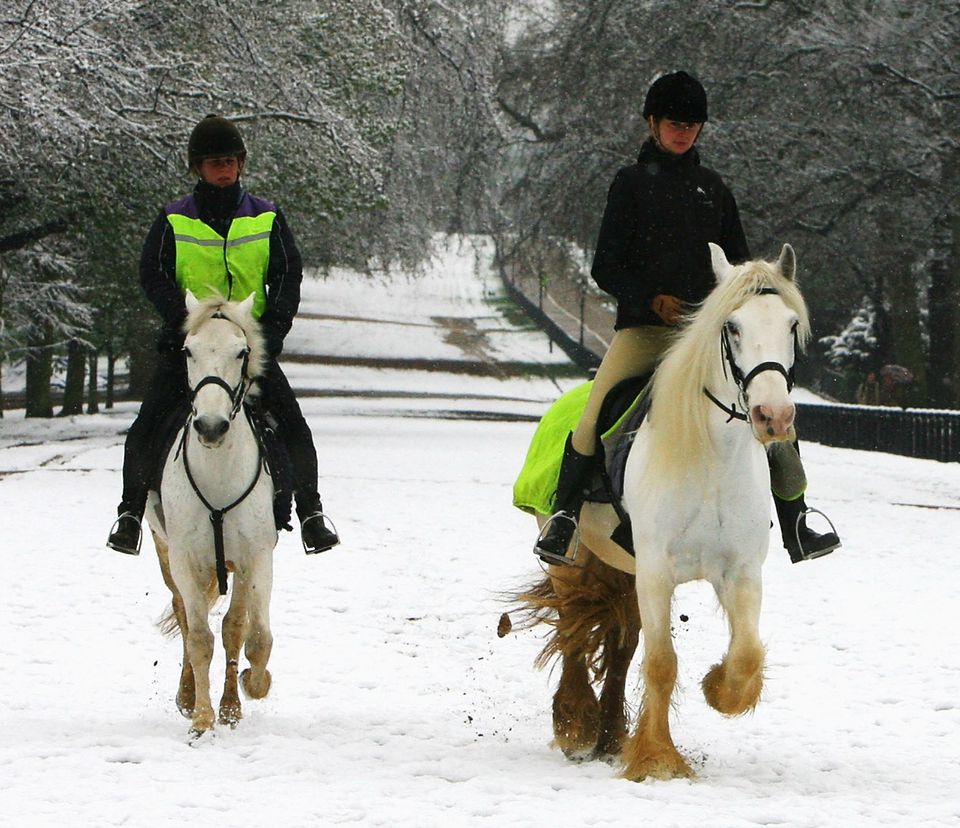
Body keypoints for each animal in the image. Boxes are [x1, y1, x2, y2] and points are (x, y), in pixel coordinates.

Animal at [144, 292, 278, 736]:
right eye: (188, 350)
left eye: (242, 352)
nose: (211, 427)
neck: (219, 473)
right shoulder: (185, 560)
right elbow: (199, 638)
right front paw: (201, 719)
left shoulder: (256, 558)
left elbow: (252, 636)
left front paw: (247, 692)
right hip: (165, 552)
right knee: (186, 617)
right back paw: (187, 697)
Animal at [512, 243, 808, 780]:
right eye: (732, 327)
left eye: (791, 325)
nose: (773, 417)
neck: (713, 459)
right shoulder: (655, 570)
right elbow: (661, 663)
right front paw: (656, 760)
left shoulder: (740, 571)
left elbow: (746, 654)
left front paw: (718, 690)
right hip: (571, 557)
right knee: (572, 628)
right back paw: (576, 725)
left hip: (624, 570)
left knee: (621, 645)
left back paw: (610, 735)